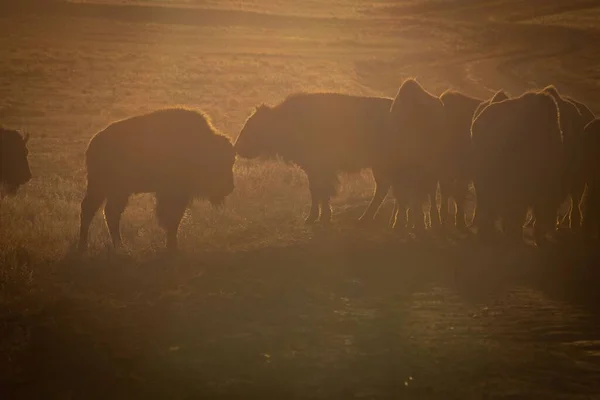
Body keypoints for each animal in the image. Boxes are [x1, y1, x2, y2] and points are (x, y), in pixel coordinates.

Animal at [79, 108, 237, 252]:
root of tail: (93, 143)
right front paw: (172, 247)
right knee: (92, 210)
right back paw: (86, 246)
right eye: (219, 164)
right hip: (103, 188)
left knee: (109, 212)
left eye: (231, 162)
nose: (229, 187)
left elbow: (175, 219)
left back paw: (117, 246)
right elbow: (171, 219)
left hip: (116, 192)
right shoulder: (172, 195)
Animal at [234, 93, 394, 225]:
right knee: (383, 188)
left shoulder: (320, 170)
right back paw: (366, 218)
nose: (237, 147)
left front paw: (318, 217)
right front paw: (315, 217)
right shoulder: (313, 171)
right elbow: (317, 192)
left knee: (383, 188)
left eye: (254, 125)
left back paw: (365, 218)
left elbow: (321, 192)